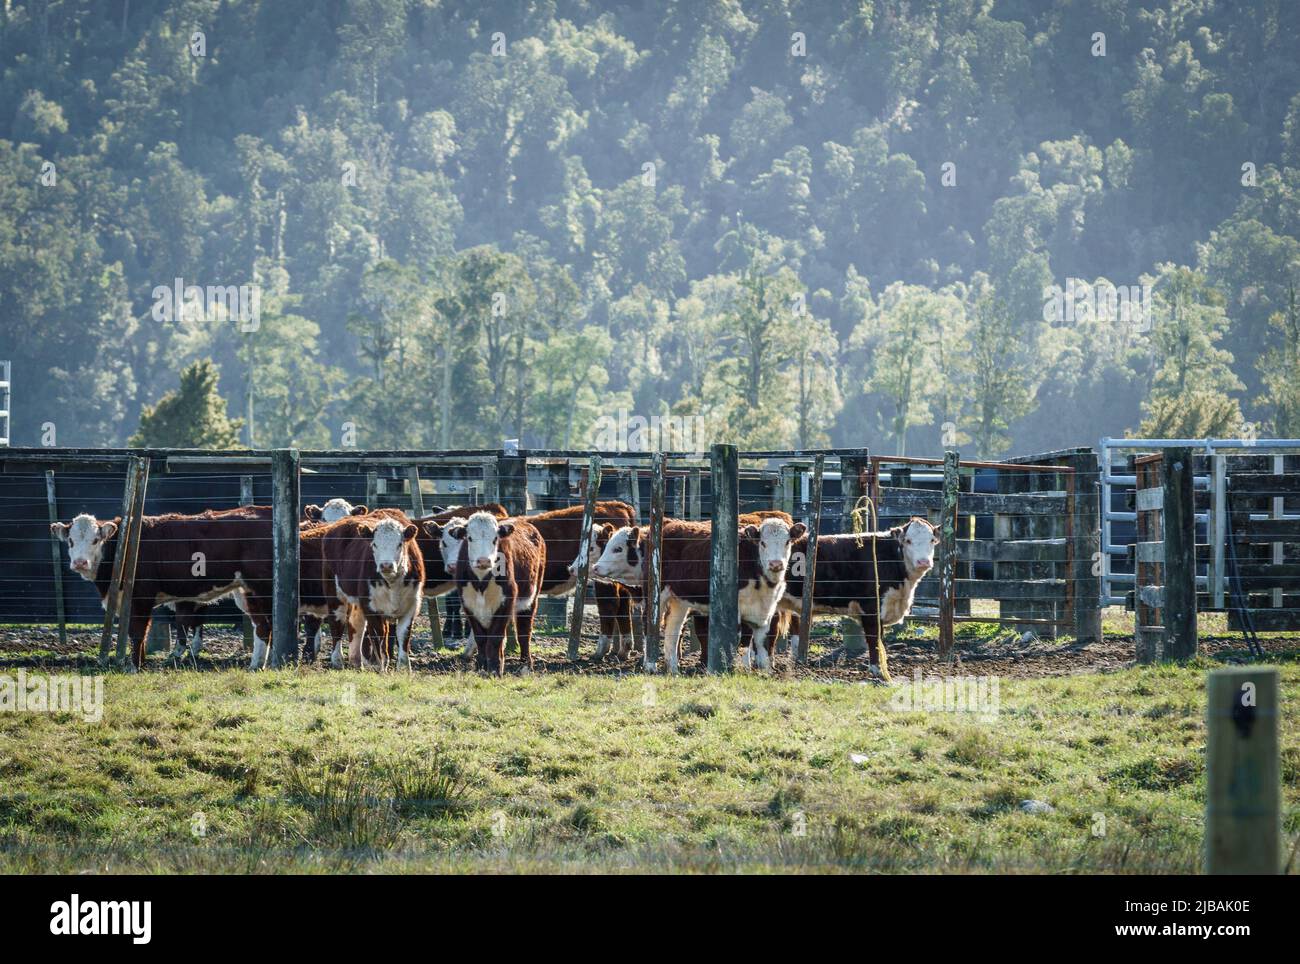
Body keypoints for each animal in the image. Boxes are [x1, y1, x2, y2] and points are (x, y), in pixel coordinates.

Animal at [52, 506, 275, 670]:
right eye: (70, 541)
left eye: (96, 540)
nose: (80, 563)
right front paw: (140, 662)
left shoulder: (141, 597)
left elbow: (137, 631)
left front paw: (134, 666)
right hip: (247, 592)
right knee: (262, 626)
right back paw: (257, 664)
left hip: (262, 589)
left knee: (267, 625)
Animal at [322, 514, 423, 670]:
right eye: (374, 544)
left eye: (399, 544)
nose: (386, 565)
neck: (393, 583)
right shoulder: (371, 607)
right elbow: (378, 635)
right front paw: (381, 667)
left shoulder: (411, 606)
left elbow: (403, 635)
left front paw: (404, 668)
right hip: (334, 593)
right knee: (337, 623)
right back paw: (337, 660)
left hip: (357, 601)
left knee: (356, 624)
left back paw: (356, 661)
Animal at [449, 514, 546, 680]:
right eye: (470, 538)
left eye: (495, 539)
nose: (483, 560)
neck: (481, 583)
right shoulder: (468, 604)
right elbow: (481, 638)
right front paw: (482, 667)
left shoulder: (505, 602)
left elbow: (495, 638)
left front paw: (494, 670)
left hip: (531, 598)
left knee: (524, 632)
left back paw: (526, 665)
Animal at [595, 522, 800, 670]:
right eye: (763, 543)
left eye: (787, 542)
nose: (776, 564)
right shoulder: (736, 610)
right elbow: (739, 639)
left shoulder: (765, 611)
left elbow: (761, 641)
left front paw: (764, 671)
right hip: (657, 595)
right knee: (651, 624)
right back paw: (650, 665)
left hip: (679, 601)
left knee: (673, 629)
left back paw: (672, 668)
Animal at [774, 517, 941, 685]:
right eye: (908, 540)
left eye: (932, 540)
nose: (923, 562)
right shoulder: (871, 607)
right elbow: (874, 639)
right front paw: (877, 670)